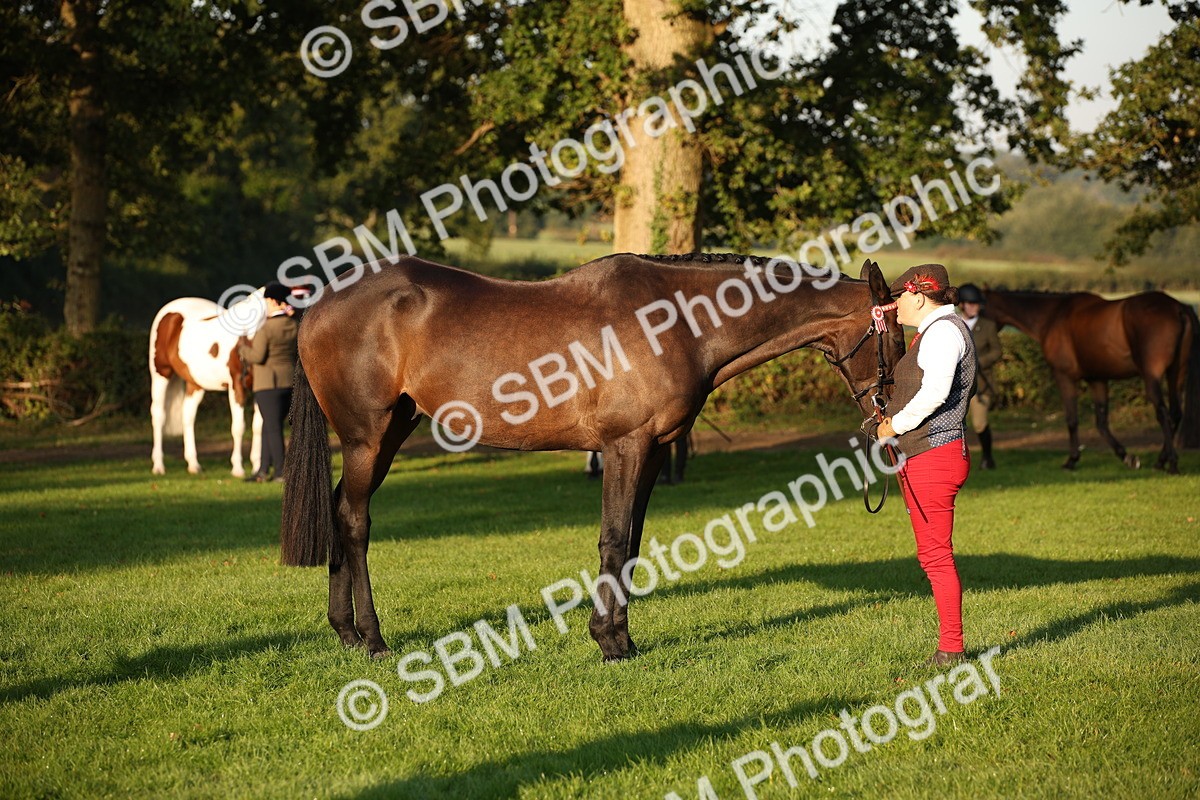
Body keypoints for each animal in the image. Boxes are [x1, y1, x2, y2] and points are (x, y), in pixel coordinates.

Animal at [149, 291, 266, 476]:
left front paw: (257, 468)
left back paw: (193, 464)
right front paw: (238, 469)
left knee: (188, 416)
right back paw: (159, 466)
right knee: (159, 416)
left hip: (195, 384)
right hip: (161, 374)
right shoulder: (237, 387)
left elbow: (258, 427)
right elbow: (239, 427)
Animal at [279, 253, 904, 661]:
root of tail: (321, 302)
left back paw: (345, 632)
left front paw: (622, 637)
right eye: (896, 341)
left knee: (339, 509)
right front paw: (609, 642)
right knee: (355, 520)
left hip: (391, 431)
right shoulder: (625, 446)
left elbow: (632, 544)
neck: (678, 321)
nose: (889, 415)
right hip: (367, 436)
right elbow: (613, 539)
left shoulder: (653, 451)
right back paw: (374, 640)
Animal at [983, 288, 1200, 473]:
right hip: (1176, 373)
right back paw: (1160, 461)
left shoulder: (1065, 377)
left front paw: (1071, 460)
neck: (1053, 316)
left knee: (1163, 413)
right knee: (1175, 413)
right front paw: (1127, 457)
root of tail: (1179, 308)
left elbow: (1072, 419)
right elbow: (1101, 423)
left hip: (1152, 375)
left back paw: (1172, 464)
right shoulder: (1098, 379)